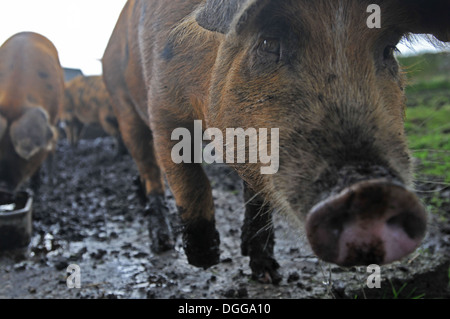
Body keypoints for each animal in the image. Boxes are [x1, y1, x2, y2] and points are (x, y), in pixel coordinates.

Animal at [103, 0, 450, 284]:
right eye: (269, 42)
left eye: (390, 49)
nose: (370, 188)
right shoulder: (160, 104)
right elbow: (189, 177)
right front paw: (207, 260)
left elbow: (257, 194)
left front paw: (269, 273)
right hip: (122, 106)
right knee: (149, 170)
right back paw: (163, 243)